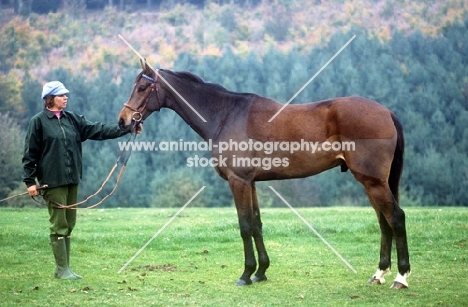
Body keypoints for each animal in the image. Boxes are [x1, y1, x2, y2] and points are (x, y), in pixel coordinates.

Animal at [119, 62, 412, 288]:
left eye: (142, 87)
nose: (123, 121)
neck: (226, 115)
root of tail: (386, 111)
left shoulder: (238, 182)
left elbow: (245, 226)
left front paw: (246, 274)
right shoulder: (252, 183)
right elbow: (257, 224)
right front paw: (261, 272)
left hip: (373, 182)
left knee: (396, 218)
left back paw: (401, 277)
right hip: (373, 183)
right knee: (384, 221)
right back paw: (379, 274)